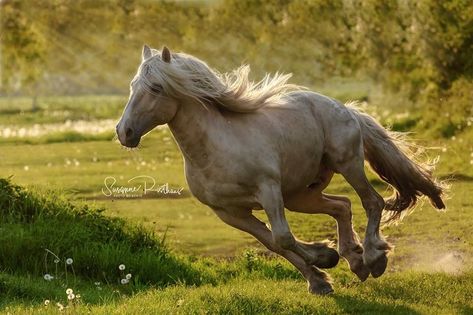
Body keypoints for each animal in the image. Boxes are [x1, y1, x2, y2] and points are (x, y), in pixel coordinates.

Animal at [116, 45, 444, 296]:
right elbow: (273, 243)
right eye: (132, 86)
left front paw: (325, 259)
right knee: (342, 206)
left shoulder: (268, 190)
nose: (124, 132)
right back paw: (355, 259)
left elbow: (283, 238)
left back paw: (373, 257)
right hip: (301, 196)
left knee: (371, 201)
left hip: (346, 163)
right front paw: (320, 276)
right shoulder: (228, 212)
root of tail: (345, 108)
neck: (215, 149)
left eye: (155, 88)